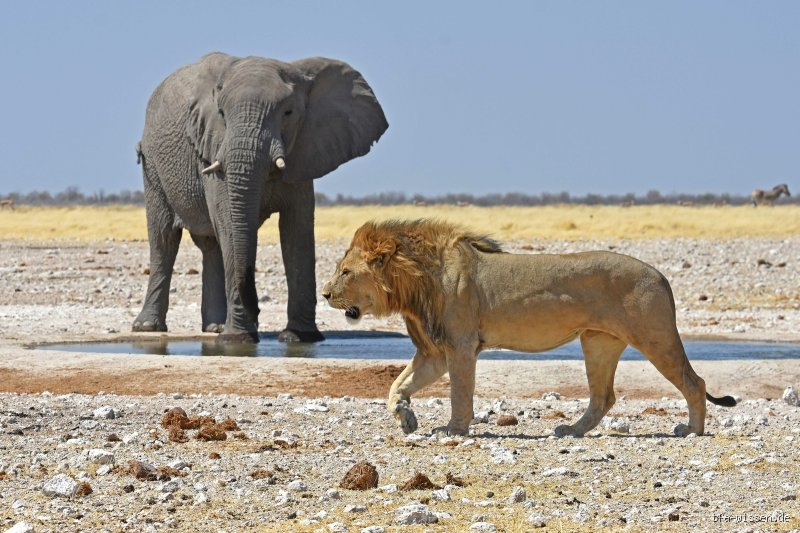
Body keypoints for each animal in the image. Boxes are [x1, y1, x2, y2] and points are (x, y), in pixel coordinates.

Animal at [132, 52, 388, 343]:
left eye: (288, 113)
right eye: (222, 114)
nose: (256, 310)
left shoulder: (304, 150)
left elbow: (297, 230)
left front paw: (299, 338)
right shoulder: (213, 148)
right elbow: (229, 224)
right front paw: (237, 340)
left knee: (211, 245)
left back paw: (215, 328)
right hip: (152, 166)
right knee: (164, 239)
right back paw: (148, 328)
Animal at [322, 219, 736, 437]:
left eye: (345, 272)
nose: (324, 294)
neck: (413, 284)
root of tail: (661, 275)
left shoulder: (460, 346)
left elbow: (459, 393)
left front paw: (454, 429)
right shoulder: (434, 353)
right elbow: (398, 385)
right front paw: (406, 417)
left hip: (654, 336)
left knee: (694, 382)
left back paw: (692, 430)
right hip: (598, 343)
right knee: (603, 397)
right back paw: (571, 431)